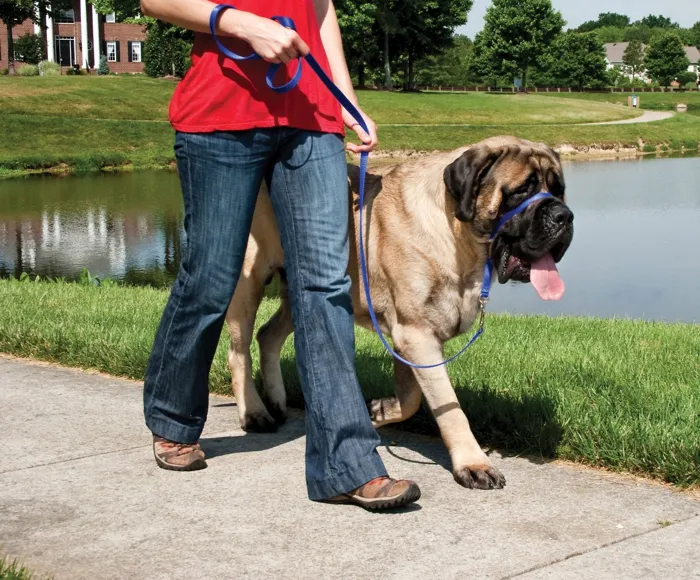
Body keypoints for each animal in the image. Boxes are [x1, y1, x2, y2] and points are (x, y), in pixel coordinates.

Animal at [225, 136, 574, 490]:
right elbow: (448, 406)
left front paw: (379, 411)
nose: (565, 216)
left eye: (559, 189)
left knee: (268, 335)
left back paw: (278, 401)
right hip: (248, 283)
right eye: (522, 190)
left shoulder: (410, 340)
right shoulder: (415, 333)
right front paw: (474, 464)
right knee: (238, 351)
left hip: (303, 293)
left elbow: (411, 398)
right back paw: (255, 413)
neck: (458, 239)